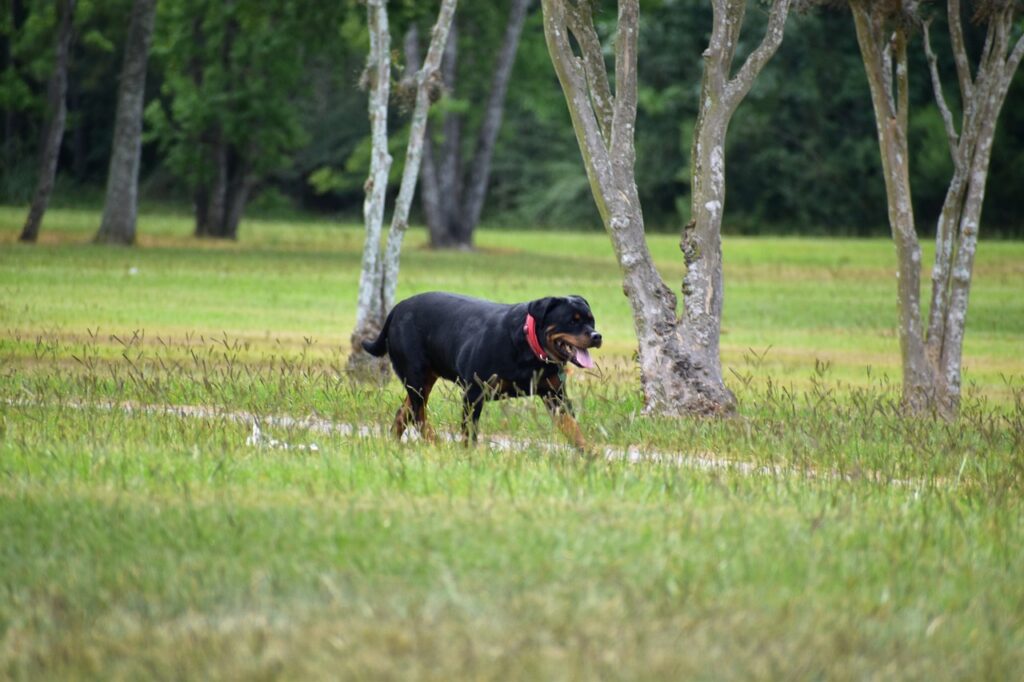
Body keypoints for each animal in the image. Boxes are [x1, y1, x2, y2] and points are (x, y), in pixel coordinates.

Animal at [362, 288, 598, 448]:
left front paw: (591, 457)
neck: (530, 348)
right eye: (572, 321)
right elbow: (470, 433)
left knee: (405, 412)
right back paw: (435, 442)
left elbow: (574, 430)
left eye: (591, 321)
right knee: (419, 415)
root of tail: (397, 308)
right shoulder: (474, 392)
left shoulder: (556, 397)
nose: (597, 336)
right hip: (416, 375)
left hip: (424, 379)